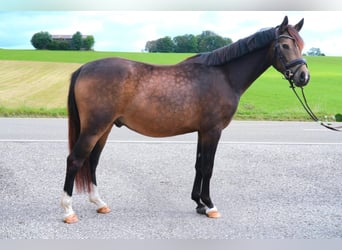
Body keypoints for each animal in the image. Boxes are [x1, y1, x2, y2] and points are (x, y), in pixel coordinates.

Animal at [61, 16, 310, 223]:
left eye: (301, 45)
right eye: (285, 45)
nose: (303, 77)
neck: (223, 76)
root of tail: (84, 68)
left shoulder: (202, 131)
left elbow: (199, 165)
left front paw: (199, 203)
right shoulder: (213, 131)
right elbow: (208, 167)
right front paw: (210, 206)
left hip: (104, 128)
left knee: (92, 161)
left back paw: (99, 203)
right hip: (94, 128)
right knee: (75, 160)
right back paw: (68, 211)